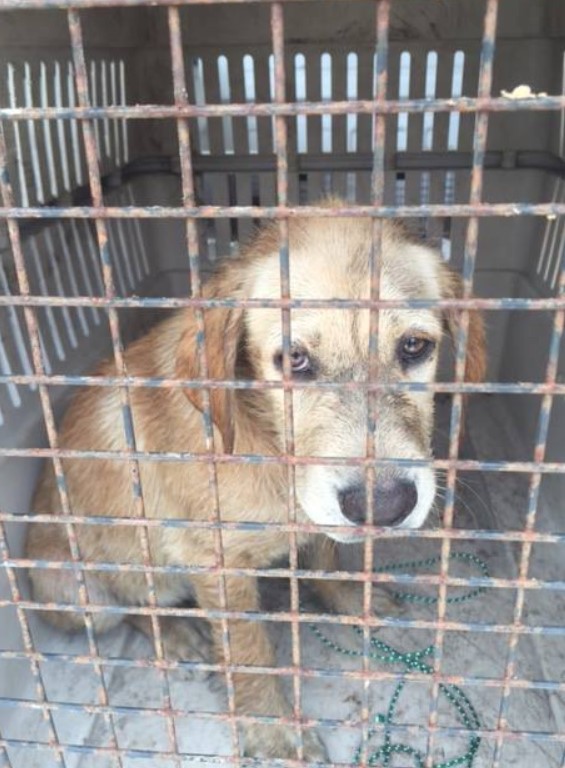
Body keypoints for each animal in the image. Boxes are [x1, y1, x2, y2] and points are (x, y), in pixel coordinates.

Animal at [27, 207, 484, 760]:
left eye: (415, 346)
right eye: (294, 359)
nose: (385, 504)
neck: (267, 441)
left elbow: (326, 556)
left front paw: (351, 600)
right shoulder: (215, 562)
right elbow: (249, 651)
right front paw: (272, 726)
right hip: (78, 596)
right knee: (132, 608)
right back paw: (175, 630)